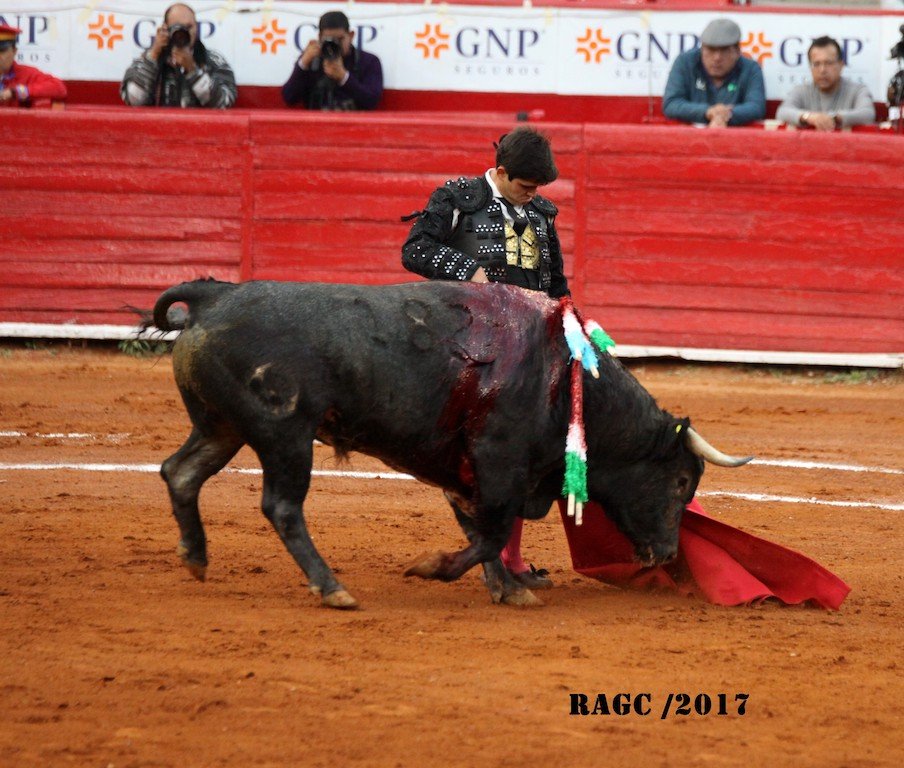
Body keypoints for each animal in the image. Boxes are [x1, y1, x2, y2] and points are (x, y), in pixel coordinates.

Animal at [150, 278, 751, 610]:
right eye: (680, 481)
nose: (668, 553)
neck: (567, 379)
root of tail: (214, 297)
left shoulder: (467, 472)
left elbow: (482, 531)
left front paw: (509, 588)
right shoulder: (498, 461)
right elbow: (490, 534)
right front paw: (433, 567)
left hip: (221, 427)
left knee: (180, 471)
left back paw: (196, 557)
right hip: (285, 434)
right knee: (282, 506)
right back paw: (331, 588)